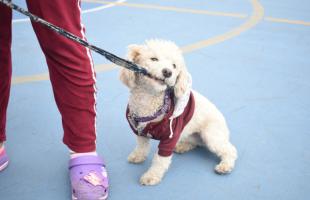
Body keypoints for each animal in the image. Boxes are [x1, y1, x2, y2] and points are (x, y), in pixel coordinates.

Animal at [119, 39, 237, 186]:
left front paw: (151, 176)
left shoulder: (170, 137)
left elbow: (160, 160)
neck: (148, 100)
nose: (167, 72)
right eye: (154, 59)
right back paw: (182, 146)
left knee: (230, 150)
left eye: (174, 66)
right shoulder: (140, 132)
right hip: (189, 133)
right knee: (196, 143)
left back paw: (225, 166)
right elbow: (142, 146)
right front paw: (138, 156)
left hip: (211, 135)